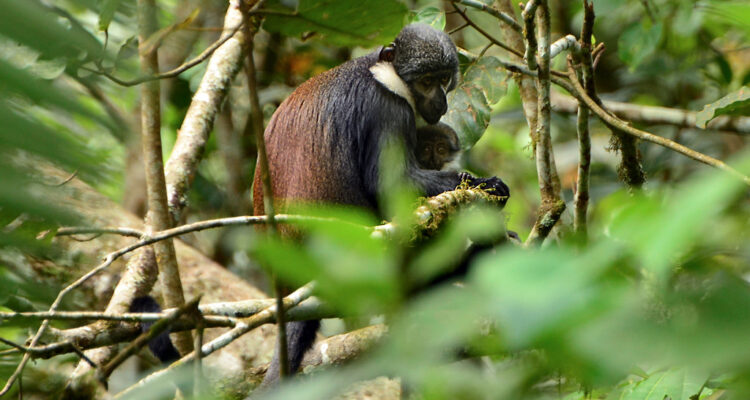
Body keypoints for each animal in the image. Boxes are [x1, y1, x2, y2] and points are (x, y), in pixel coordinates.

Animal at [252, 23, 510, 385]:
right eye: (425, 82)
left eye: (443, 79)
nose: (441, 101)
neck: (382, 72)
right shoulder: (388, 108)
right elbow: (391, 185)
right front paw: (487, 186)